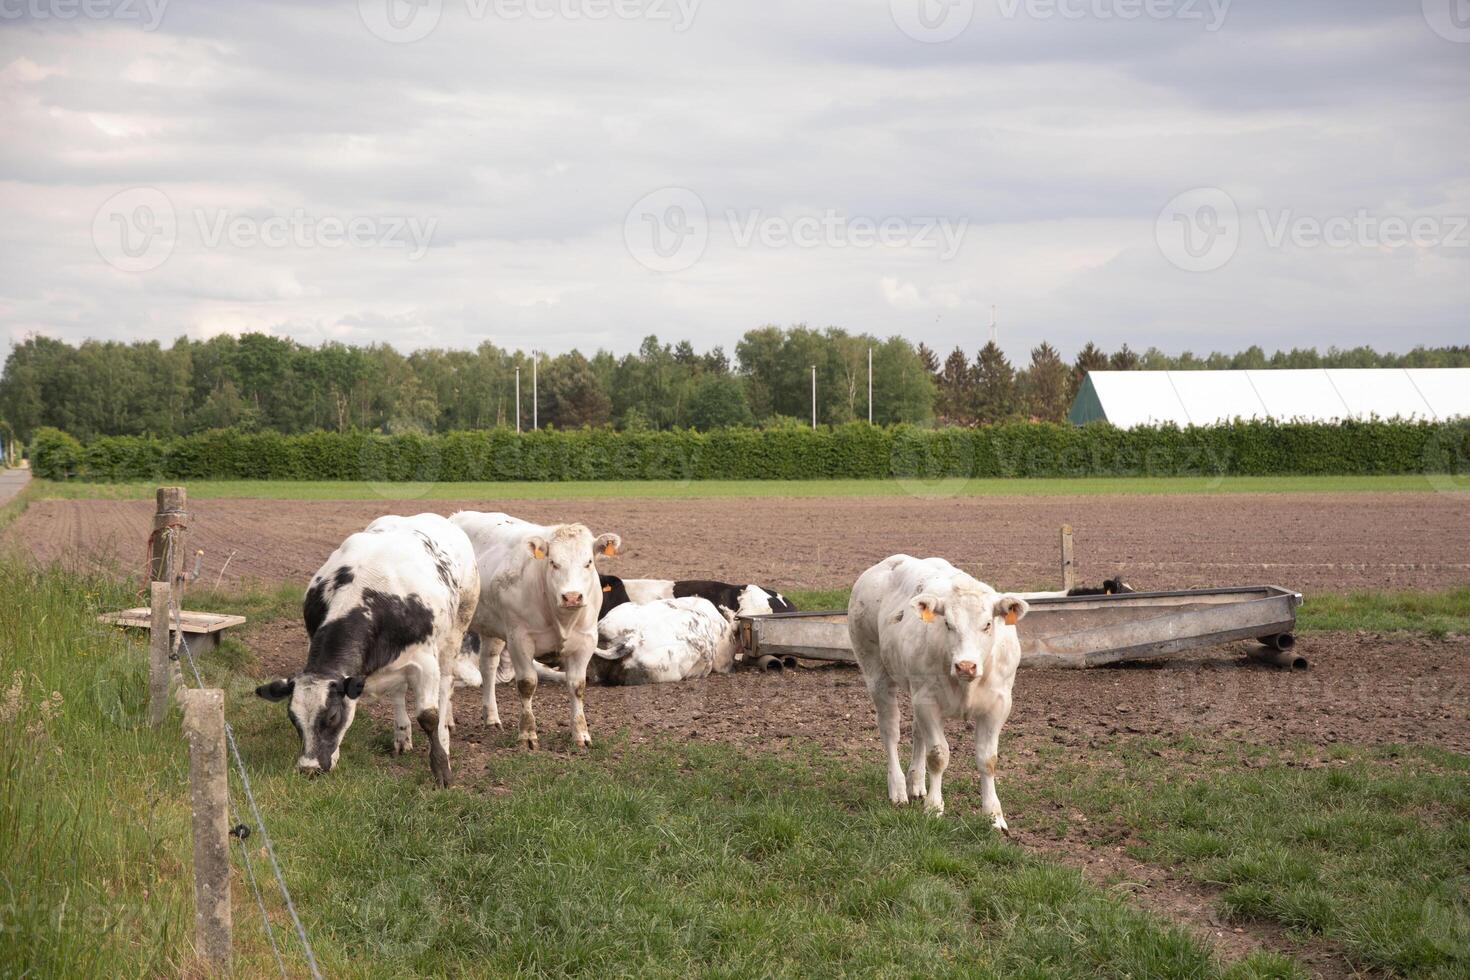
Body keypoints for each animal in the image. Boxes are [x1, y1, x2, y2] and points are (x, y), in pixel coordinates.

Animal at [255, 514, 476, 787]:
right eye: (293, 718)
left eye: (332, 717)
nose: (309, 768)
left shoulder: (425, 661)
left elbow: (429, 716)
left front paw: (441, 768)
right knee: (398, 691)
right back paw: (402, 735)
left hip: (458, 627)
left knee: (445, 686)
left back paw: (444, 734)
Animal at [446, 514, 620, 752]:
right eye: (553, 562)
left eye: (589, 563)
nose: (572, 597)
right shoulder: (519, 640)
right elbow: (527, 684)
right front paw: (527, 734)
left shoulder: (586, 642)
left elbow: (577, 686)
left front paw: (581, 734)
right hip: (457, 626)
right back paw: (447, 721)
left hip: (492, 628)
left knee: (488, 666)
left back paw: (491, 718)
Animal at [846, 555, 1029, 834]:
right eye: (948, 624)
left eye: (988, 624)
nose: (966, 665)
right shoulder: (928, 701)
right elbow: (938, 755)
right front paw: (934, 808)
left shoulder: (998, 705)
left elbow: (987, 759)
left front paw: (994, 815)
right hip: (875, 670)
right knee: (890, 730)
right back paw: (898, 788)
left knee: (916, 730)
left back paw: (915, 783)